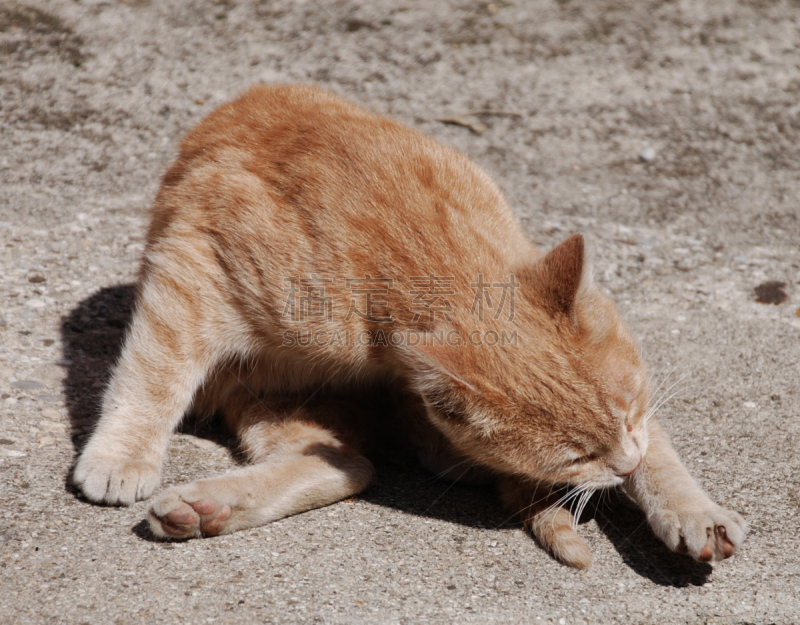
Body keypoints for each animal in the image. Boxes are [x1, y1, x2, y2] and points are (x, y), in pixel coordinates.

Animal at [72, 85, 748, 568]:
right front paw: (121, 455)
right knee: (352, 466)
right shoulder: (193, 265)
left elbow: (662, 448)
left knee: (351, 465)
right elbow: (155, 372)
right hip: (265, 391)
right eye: (576, 456)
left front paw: (690, 508)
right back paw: (203, 507)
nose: (624, 465)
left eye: (630, 411)